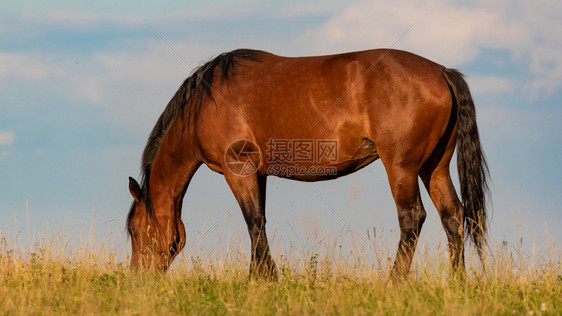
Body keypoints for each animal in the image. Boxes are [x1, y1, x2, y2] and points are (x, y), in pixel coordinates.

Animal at [126, 48, 486, 278]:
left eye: (133, 230)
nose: (137, 279)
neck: (205, 103)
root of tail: (442, 72)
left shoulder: (238, 170)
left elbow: (253, 223)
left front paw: (265, 279)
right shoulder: (258, 173)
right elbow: (260, 222)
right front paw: (260, 278)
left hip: (402, 168)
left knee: (412, 218)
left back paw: (395, 282)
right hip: (433, 167)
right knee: (453, 216)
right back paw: (457, 283)